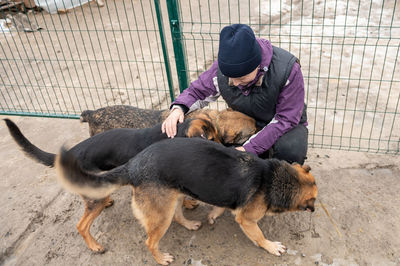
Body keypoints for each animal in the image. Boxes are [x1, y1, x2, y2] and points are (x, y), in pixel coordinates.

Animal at [2, 117, 219, 252]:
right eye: (212, 139)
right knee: (81, 225)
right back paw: (94, 246)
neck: (177, 133)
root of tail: (69, 154)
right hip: (94, 195)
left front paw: (187, 203)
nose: (223, 148)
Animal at [56, 136, 318, 264]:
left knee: (178, 215)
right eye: (314, 199)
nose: (315, 210)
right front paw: (271, 246)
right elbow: (260, 236)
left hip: (174, 196)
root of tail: (133, 165)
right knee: (150, 242)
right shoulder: (247, 220)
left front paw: (213, 215)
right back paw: (161, 258)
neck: (273, 178)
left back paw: (190, 224)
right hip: (160, 215)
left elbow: (220, 208)